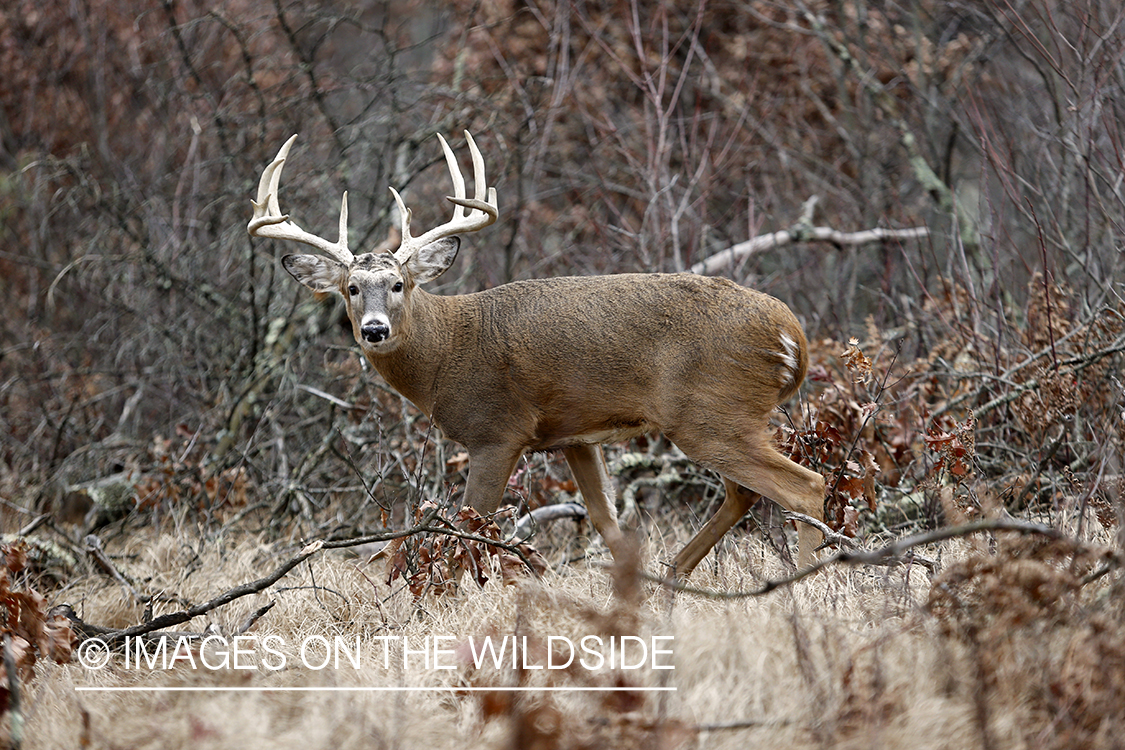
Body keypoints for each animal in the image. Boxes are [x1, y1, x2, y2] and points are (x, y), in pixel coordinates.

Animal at [248, 130, 828, 580]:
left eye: (398, 284)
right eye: (350, 288)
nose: (373, 329)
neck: (447, 353)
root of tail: (792, 335)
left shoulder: (496, 431)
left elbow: (465, 531)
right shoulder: (574, 435)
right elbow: (608, 524)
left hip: (710, 412)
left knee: (805, 486)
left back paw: (799, 586)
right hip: (723, 416)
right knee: (743, 494)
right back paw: (674, 578)